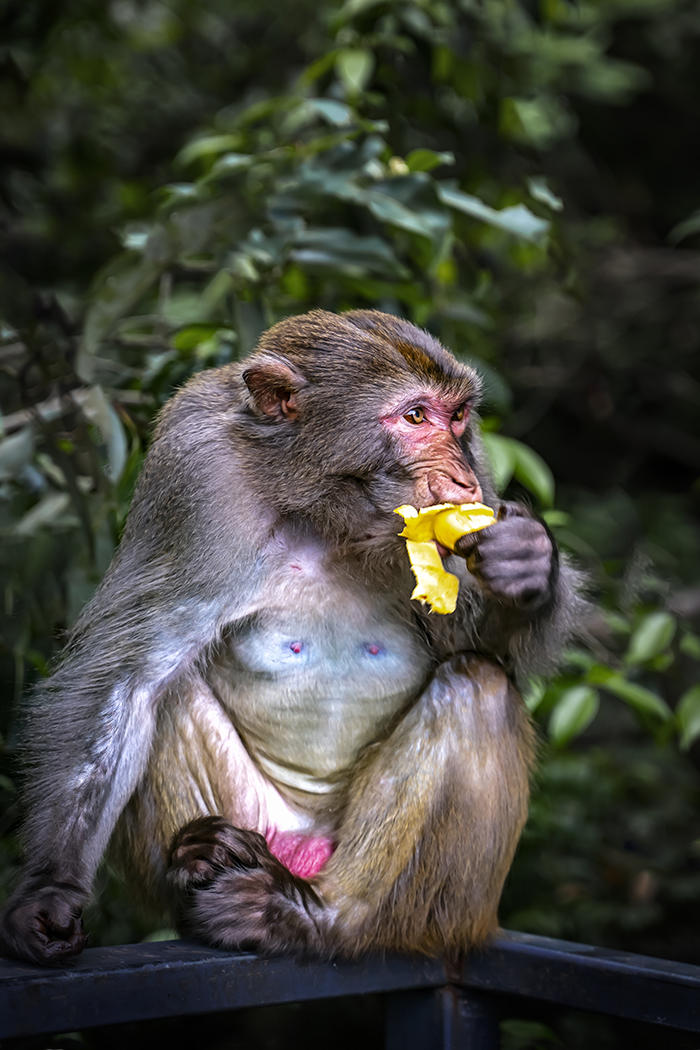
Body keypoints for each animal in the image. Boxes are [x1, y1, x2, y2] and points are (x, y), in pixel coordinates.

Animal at [0, 306, 583, 961]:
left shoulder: (479, 459)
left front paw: (526, 561)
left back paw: (316, 918)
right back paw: (197, 864)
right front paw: (48, 892)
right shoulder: (196, 469)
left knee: (474, 687)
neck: (323, 502)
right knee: (164, 690)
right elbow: (126, 676)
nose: (462, 483)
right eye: (414, 417)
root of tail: (303, 855)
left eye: (457, 418)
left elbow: (474, 645)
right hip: (261, 823)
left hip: (438, 907)